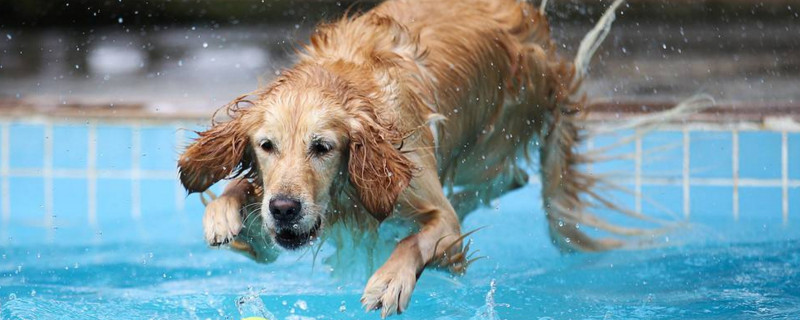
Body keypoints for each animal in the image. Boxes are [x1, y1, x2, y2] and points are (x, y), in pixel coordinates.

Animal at [178, 0, 708, 316]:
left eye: (322, 147)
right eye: (266, 146)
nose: (285, 209)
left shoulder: (427, 202)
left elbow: (418, 239)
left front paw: (389, 281)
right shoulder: (281, 234)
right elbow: (243, 196)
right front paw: (223, 212)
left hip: (492, 139)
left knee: (502, 180)